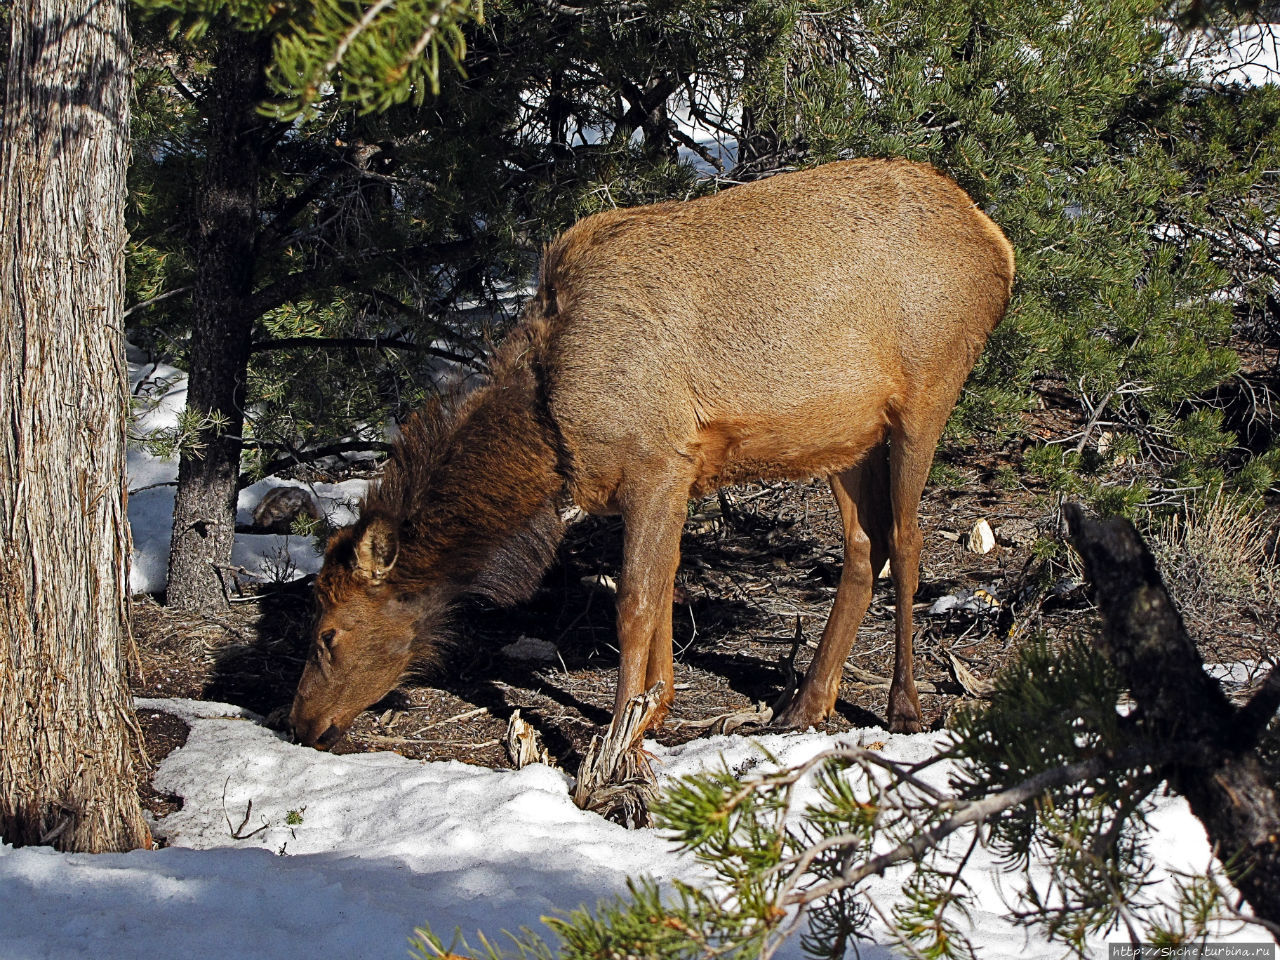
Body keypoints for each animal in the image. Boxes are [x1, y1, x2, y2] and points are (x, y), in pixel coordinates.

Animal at [288, 160, 1008, 752]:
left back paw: (903, 705)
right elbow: (663, 588)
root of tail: (999, 245)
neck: (553, 437)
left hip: (928, 392)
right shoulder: (672, 476)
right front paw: (654, 713)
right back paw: (804, 704)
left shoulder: (656, 464)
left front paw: (615, 740)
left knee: (908, 540)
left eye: (328, 634)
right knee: (864, 544)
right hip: (844, 433)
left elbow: (634, 605)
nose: (299, 722)